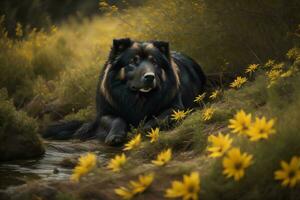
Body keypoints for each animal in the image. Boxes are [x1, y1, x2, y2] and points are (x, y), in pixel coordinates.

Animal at [42, 38, 206, 145]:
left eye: (154, 62)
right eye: (133, 61)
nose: (150, 77)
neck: (139, 97)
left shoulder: (176, 108)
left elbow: (159, 118)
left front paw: (144, 128)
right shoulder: (105, 114)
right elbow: (118, 119)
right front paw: (115, 136)